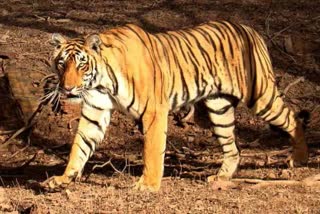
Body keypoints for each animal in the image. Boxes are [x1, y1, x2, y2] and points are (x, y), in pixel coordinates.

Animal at [40, 20, 308, 191]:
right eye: (62, 64)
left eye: (82, 65)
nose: (67, 88)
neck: (101, 83)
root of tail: (250, 29)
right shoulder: (95, 112)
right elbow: (80, 147)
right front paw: (62, 179)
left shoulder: (154, 111)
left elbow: (152, 150)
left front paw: (148, 186)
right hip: (219, 108)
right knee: (233, 148)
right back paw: (221, 178)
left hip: (260, 95)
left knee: (292, 118)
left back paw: (300, 158)